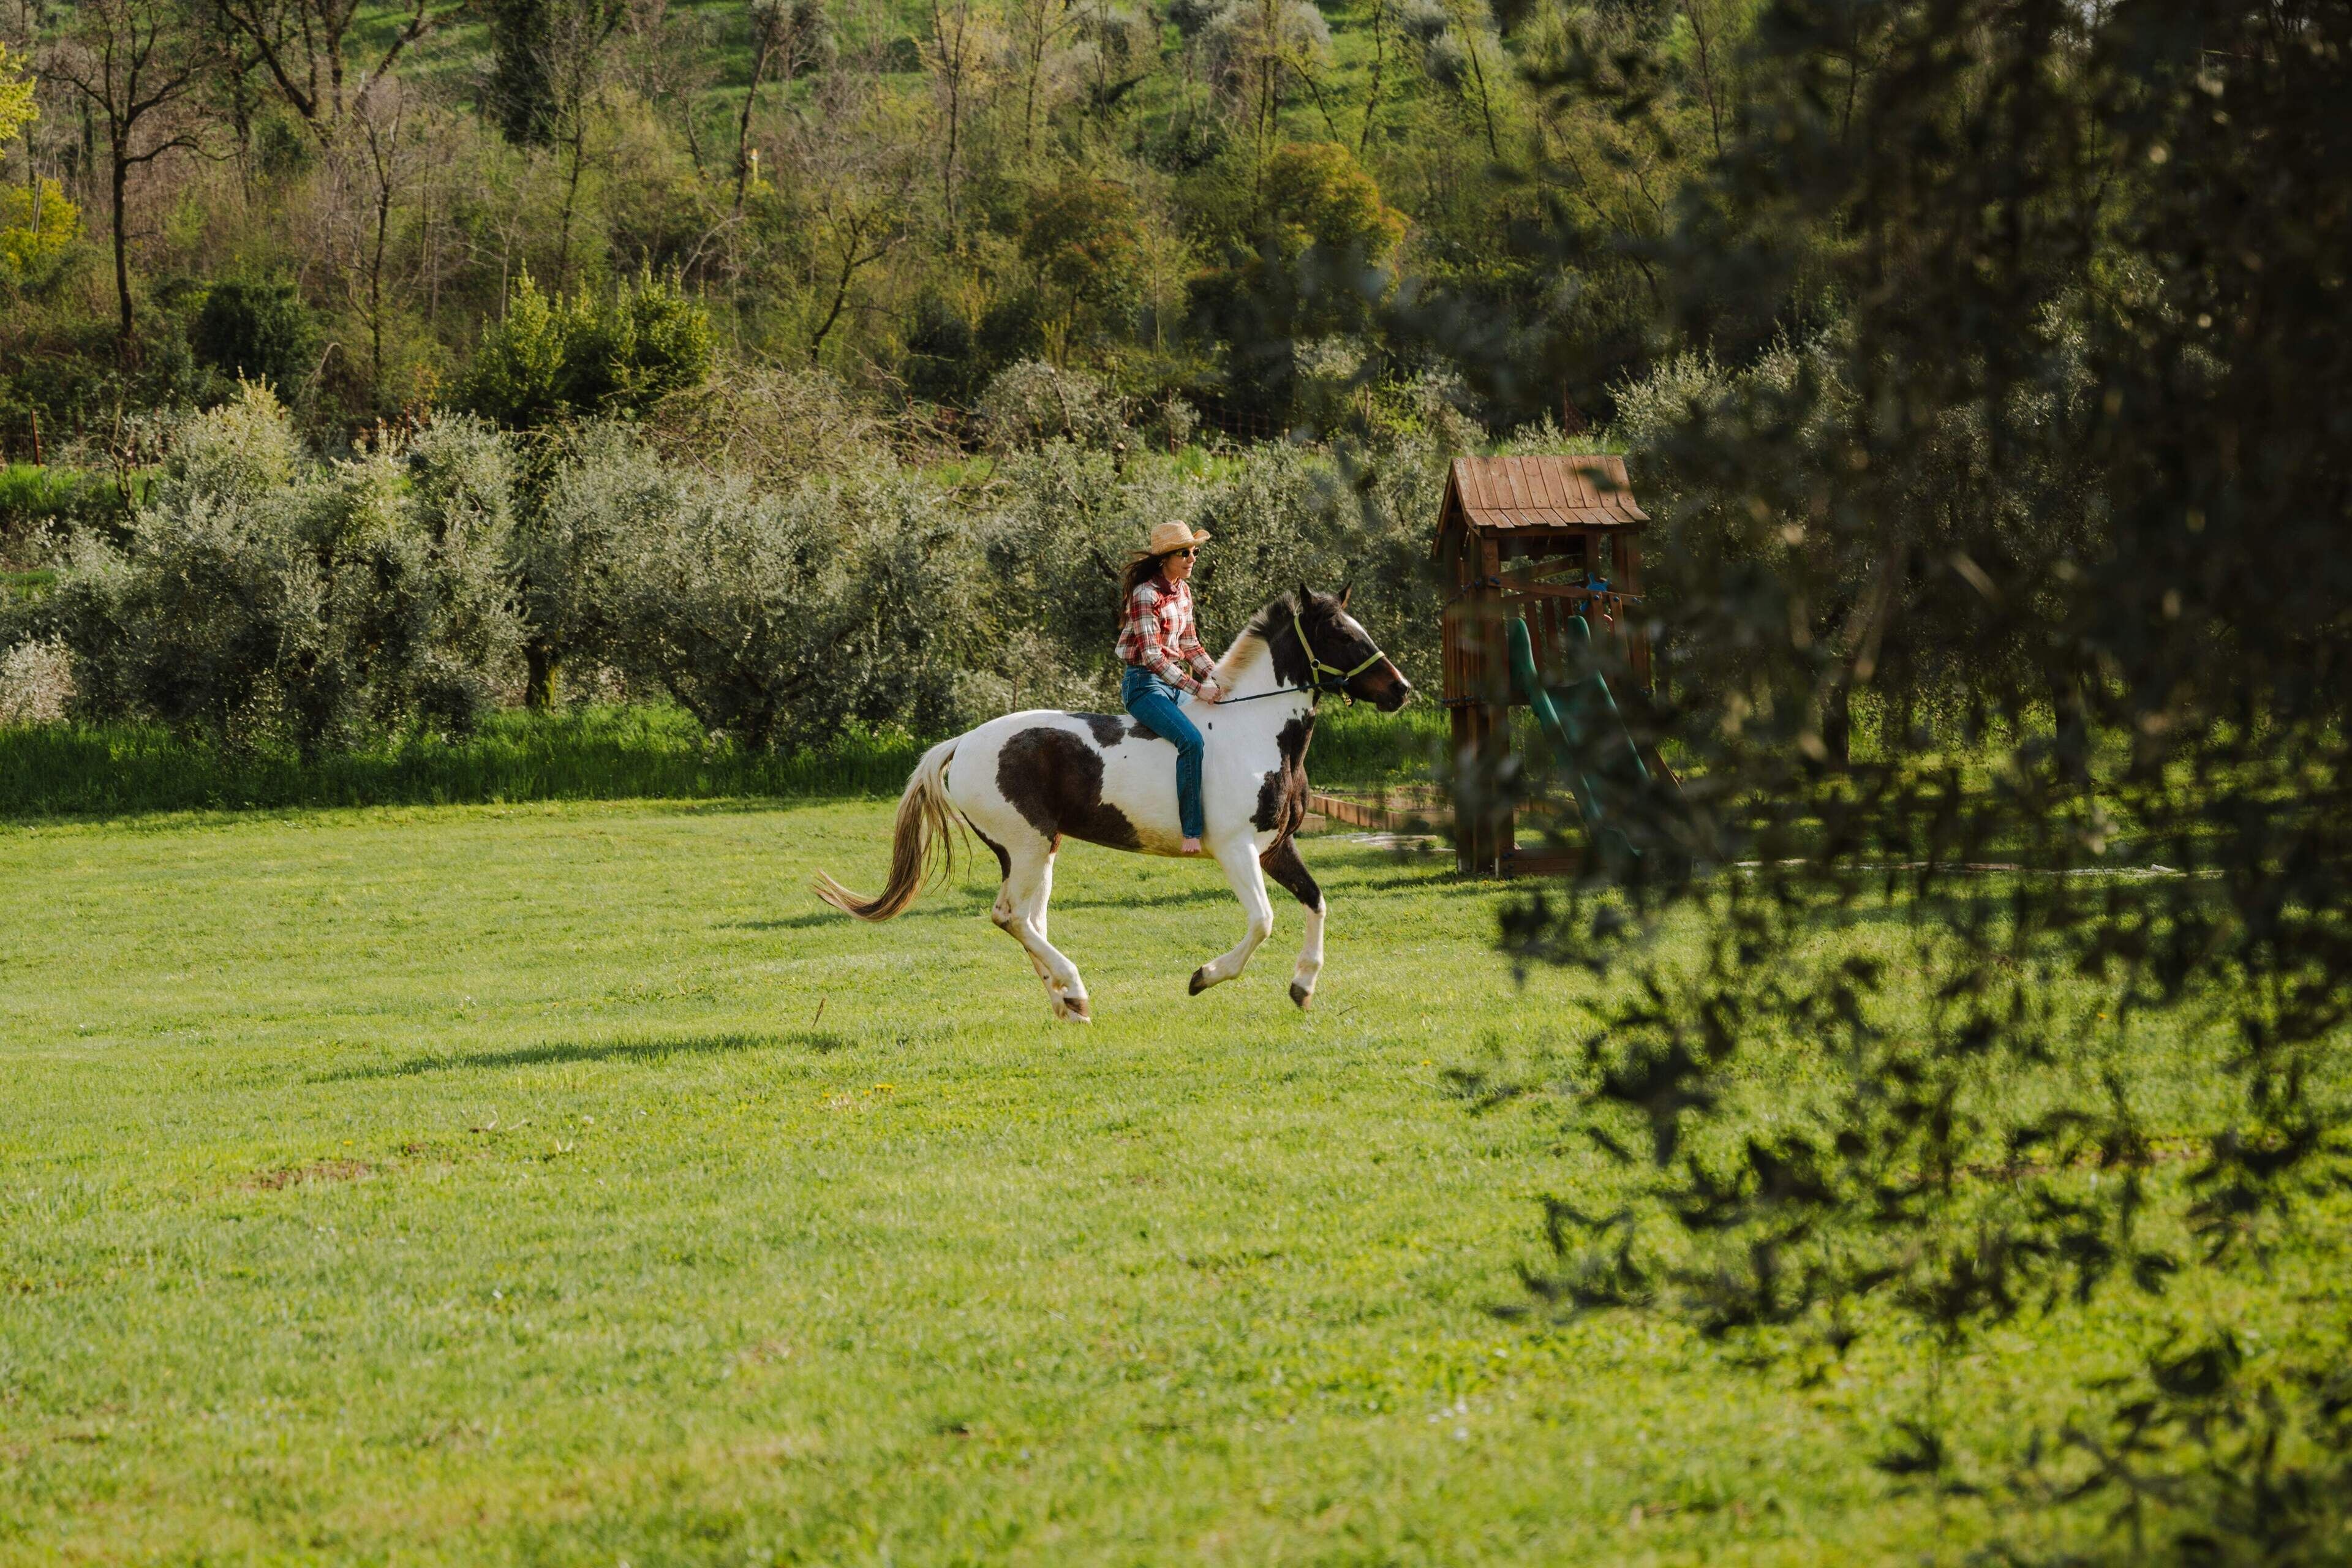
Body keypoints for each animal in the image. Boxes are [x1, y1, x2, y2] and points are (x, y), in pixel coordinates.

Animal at [813, 586, 1413, 1021]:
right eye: (1339, 633)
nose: (1401, 690)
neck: (1256, 733)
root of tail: (962, 744)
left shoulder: (1275, 848)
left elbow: (1316, 901)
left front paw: (1303, 987)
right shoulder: (1236, 850)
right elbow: (1263, 921)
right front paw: (1203, 977)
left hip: (1039, 852)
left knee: (1030, 921)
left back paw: (1068, 1004)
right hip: (1026, 846)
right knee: (1011, 916)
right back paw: (1074, 989)